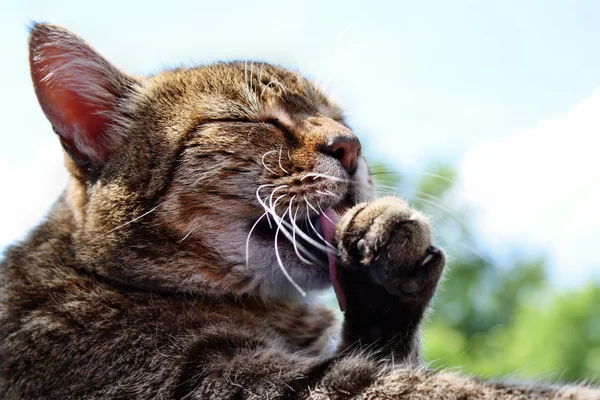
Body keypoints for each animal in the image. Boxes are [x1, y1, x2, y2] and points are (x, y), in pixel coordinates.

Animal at [0, 24, 596, 400]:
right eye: (253, 121)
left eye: (341, 118)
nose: (351, 145)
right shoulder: (224, 381)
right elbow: (434, 387)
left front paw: (385, 270)